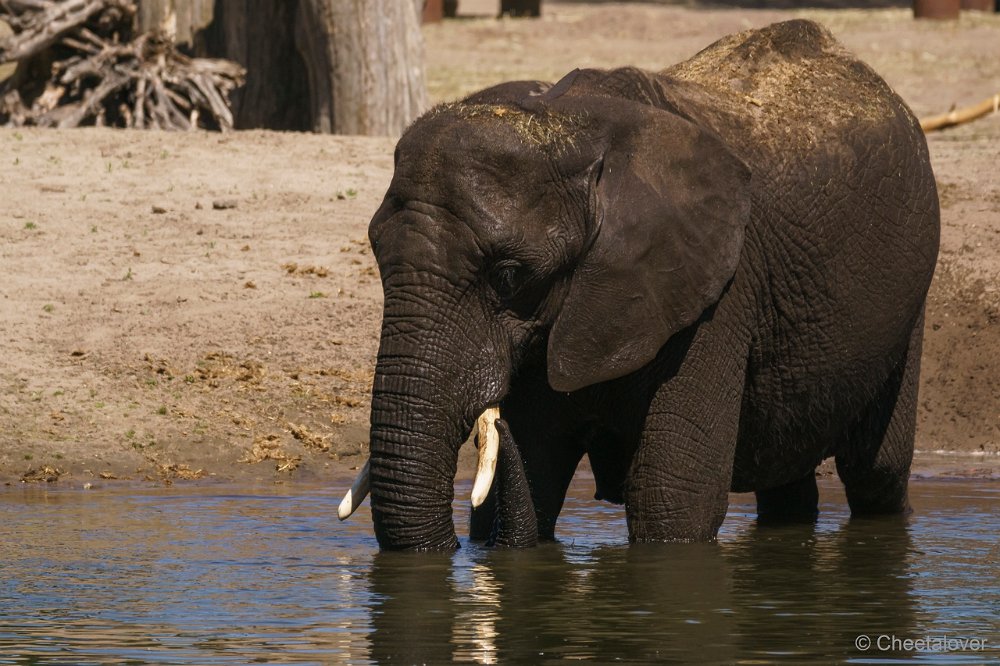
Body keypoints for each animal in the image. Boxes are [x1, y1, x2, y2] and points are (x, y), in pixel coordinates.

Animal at [340, 20, 940, 548]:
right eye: (376, 253)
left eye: (508, 276)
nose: (495, 420)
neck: (569, 123)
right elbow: (537, 470)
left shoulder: (717, 290)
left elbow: (670, 498)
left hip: (911, 292)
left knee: (876, 471)